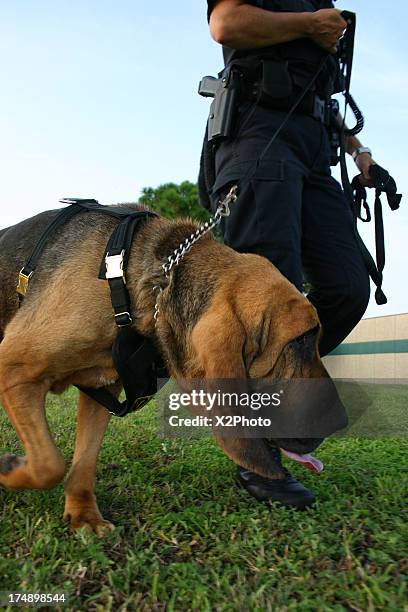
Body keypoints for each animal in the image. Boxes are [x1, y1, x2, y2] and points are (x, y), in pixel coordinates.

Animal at [0, 203, 344, 532]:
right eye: (302, 338)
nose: (342, 420)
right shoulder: (12, 367)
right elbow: (49, 464)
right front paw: (9, 471)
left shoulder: (101, 389)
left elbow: (83, 461)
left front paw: (84, 516)